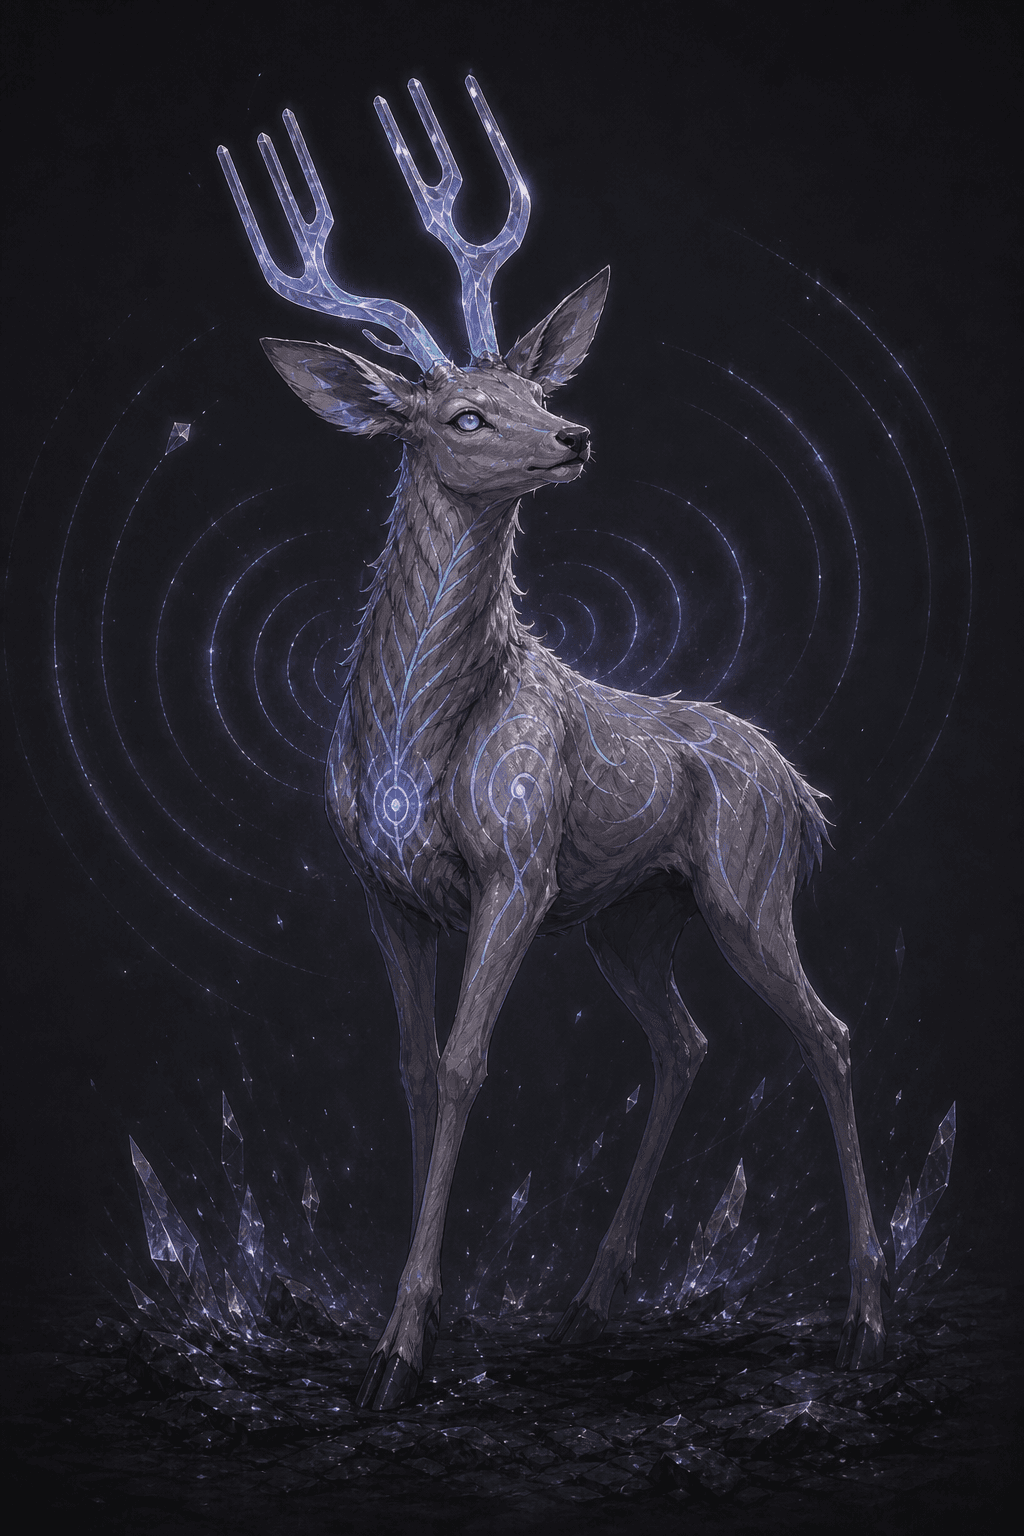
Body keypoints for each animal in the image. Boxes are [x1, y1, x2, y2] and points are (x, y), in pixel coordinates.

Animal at [217, 76, 887, 1412]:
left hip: (744, 886)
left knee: (827, 1031)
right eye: (466, 411)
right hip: (631, 917)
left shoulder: (515, 868)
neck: (415, 744)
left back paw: (864, 1320)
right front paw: (423, 1324)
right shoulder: (385, 893)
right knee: (684, 1039)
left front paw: (396, 1351)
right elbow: (413, 1067)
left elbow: (468, 1064)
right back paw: (593, 1294)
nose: (573, 436)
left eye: (535, 392)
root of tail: (799, 786)